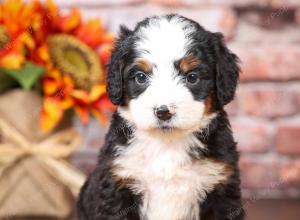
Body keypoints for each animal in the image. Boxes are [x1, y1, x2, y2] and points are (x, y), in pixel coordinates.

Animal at [77, 13, 244, 220]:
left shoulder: (220, 186)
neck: (167, 145)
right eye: (140, 77)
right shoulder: (119, 183)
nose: (163, 112)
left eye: (192, 77)